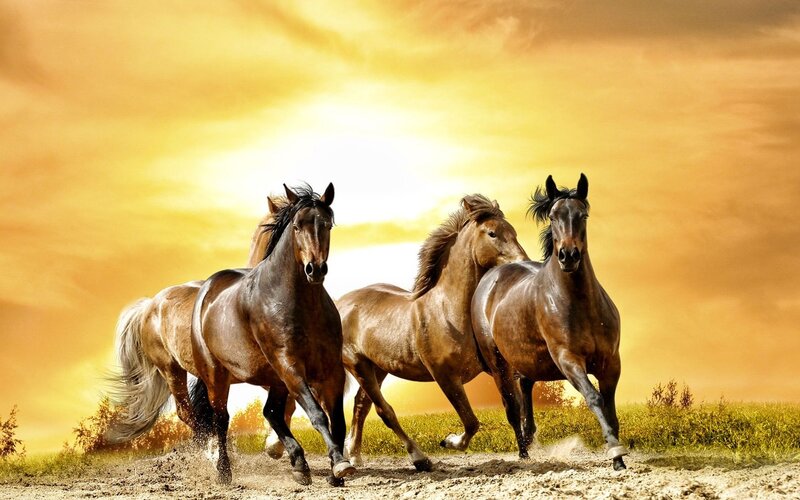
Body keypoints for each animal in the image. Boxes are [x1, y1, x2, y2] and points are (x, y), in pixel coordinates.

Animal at [190, 183, 355, 486]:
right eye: (297, 226)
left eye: (327, 224)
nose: (315, 269)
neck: (301, 304)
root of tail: (207, 289)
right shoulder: (290, 365)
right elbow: (317, 415)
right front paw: (340, 464)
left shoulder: (331, 370)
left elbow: (337, 419)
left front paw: (337, 471)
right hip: (217, 376)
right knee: (222, 419)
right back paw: (224, 472)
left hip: (274, 378)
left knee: (271, 413)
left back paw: (299, 465)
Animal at [337, 194, 528, 471]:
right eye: (492, 233)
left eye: (513, 231)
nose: (522, 263)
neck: (448, 310)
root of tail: (340, 303)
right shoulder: (445, 376)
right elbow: (471, 421)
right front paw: (448, 441)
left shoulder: (498, 368)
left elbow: (514, 409)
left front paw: (526, 454)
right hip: (358, 365)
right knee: (384, 411)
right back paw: (420, 458)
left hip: (379, 368)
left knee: (361, 405)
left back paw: (354, 454)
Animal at [471, 174, 628, 470]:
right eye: (553, 216)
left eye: (583, 214)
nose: (568, 256)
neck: (580, 304)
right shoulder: (568, 359)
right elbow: (594, 398)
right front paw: (615, 452)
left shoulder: (611, 362)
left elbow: (610, 407)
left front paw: (619, 456)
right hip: (498, 364)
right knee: (512, 408)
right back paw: (523, 454)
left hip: (527, 360)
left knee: (525, 389)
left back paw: (529, 440)